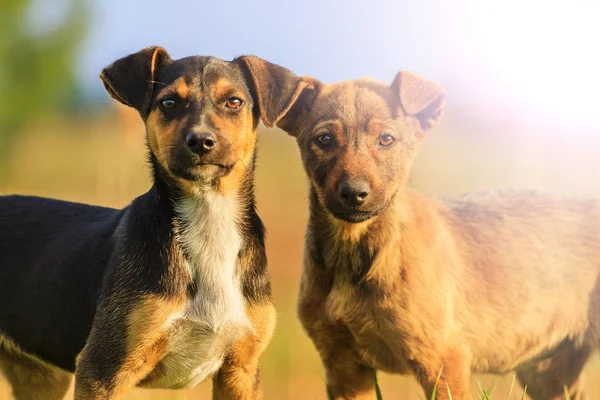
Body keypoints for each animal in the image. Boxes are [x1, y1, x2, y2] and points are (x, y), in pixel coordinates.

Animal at [0, 47, 310, 400]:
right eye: (169, 102)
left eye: (233, 102)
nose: (201, 141)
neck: (209, 216)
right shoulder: (103, 368)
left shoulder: (241, 370)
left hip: (39, 376)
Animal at [243, 57, 600, 398]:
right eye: (325, 139)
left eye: (386, 139)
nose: (354, 193)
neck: (357, 253)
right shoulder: (343, 366)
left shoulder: (442, 360)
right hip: (548, 372)